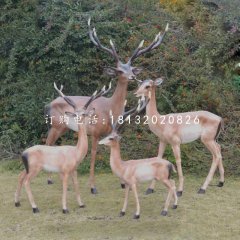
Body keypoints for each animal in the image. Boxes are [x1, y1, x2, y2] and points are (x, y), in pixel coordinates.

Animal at [14, 83, 109, 214]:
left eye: (84, 114)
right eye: (75, 113)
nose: (79, 120)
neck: (76, 153)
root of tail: (24, 153)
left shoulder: (74, 170)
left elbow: (76, 186)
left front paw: (81, 204)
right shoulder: (65, 170)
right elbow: (64, 188)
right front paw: (65, 208)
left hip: (27, 167)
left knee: (19, 176)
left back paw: (17, 202)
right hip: (35, 168)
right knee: (26, 181)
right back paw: (35, 207)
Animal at [44, 18, 169, 193]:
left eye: (131, 69)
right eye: (119, 71)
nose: (132, 77)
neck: (111, 109)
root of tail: (49, 104)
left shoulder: (112, 131)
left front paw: (122, 183)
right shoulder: (95, 132)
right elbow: (93, 155)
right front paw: (93, 187)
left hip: (62, 128)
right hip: (55, 125)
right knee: (48, 143)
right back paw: (48, 179)